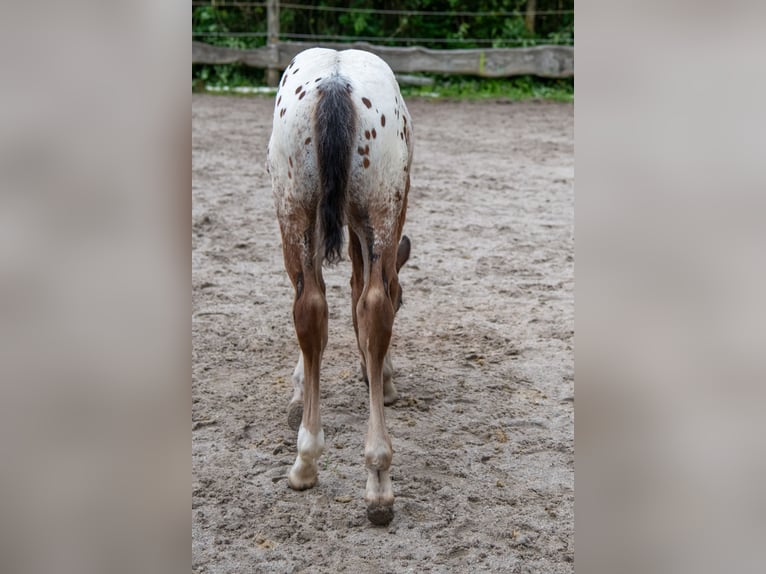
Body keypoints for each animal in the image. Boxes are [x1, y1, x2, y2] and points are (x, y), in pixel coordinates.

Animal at [268, 47, 416, 528]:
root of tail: (335, 83)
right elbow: (360, 291)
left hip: (303, 211)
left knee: (320, 305)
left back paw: (316, 464)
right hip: (370, 211)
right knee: (348, 306)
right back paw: (370, 477)